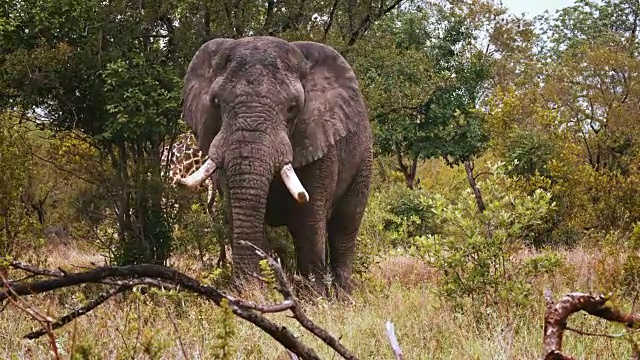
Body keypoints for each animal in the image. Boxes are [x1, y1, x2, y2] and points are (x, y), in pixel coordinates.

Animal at [178, 36, 372, 294]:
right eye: (216, 103)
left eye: (292, 108)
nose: (247, 289)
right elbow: (239, 216)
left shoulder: (320, 145)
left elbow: (308, 222)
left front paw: (315, 298)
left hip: (363, 158)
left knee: (345, 226)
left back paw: (343, 295)